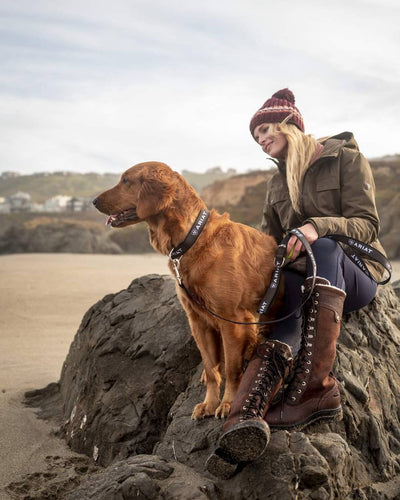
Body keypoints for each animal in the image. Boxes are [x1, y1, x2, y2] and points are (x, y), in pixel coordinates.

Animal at [93, 162, 278, 420]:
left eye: (126, 181)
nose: (93, 201)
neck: (192, 239)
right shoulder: (197, 320)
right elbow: (211, 369)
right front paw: (209, 403)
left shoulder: (232, 319)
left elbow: (232, 370)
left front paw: (227, 403)